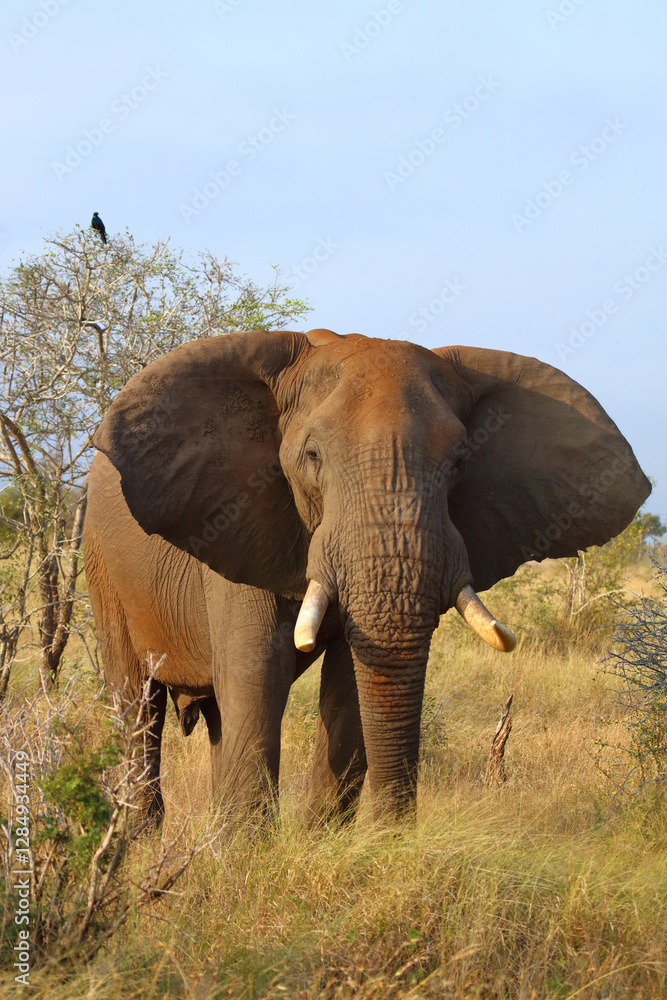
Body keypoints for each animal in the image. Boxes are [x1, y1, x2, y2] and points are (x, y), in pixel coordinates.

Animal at [84, 327, 650, 823]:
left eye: (460, 462)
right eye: (312, 456)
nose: (395, 835)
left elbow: (350, 688)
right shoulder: (237, 514)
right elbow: (257, 674)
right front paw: (245, 862)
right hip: (101, 565)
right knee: (138, 705)